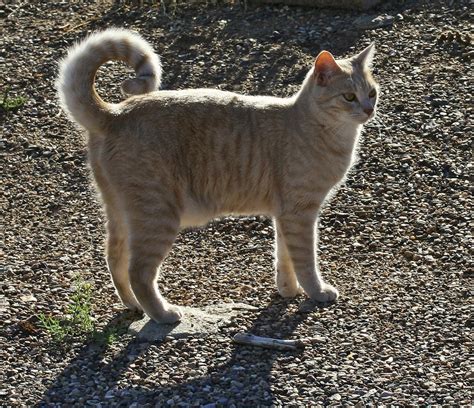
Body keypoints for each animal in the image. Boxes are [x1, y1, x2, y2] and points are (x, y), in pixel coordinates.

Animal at [57, 28, 380, 324]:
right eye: (349, 96)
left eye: (372, 92)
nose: (368, 109)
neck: (316, 128)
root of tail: (116, 113)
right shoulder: (300, 213)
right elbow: (305, 260)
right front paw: (317, 291)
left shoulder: (284, 214)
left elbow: (284, 257)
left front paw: (288, 290)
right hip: (157, 215)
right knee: (139, 272)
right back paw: (162, 313)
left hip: (121, 214)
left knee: (114, 259)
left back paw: (132, 306)